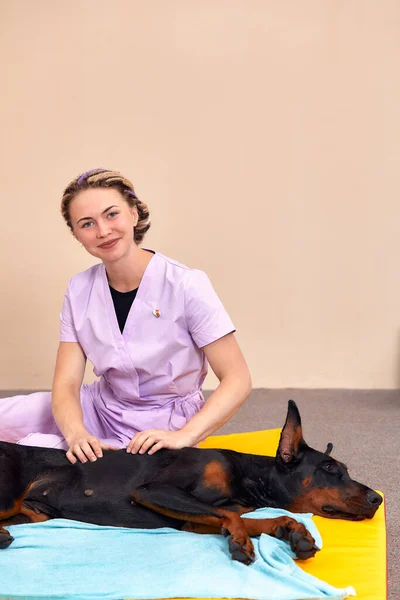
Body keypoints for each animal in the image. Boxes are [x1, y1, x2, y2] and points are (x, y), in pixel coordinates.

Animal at [0, 400, 382, 564]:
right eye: (330, 467)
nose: (377, 499)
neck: (244, 475)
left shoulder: (192, 521)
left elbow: (242, 516)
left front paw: (292, 531)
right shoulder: (154, 491)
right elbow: (233, 518)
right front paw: (240, 542)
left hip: (32, 513)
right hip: (9, 495)